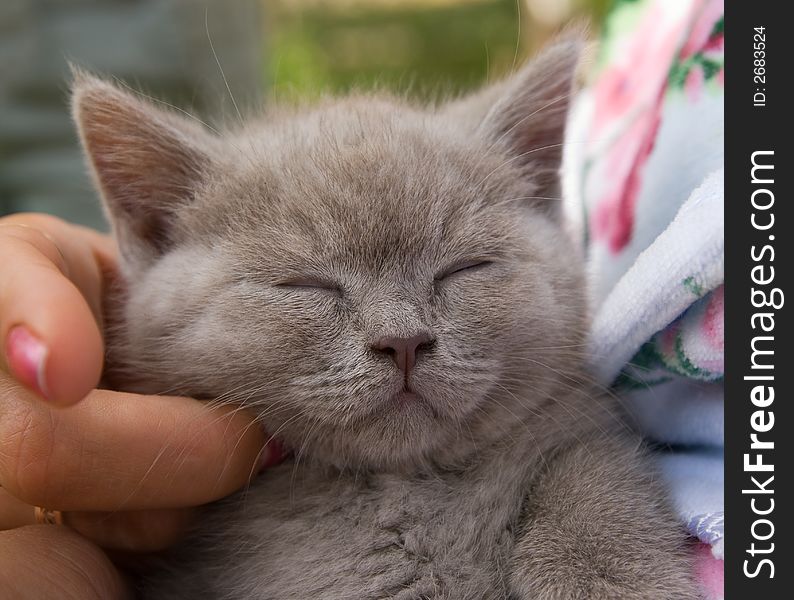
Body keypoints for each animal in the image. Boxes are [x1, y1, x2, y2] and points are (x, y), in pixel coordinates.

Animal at [72, 38, 692, 600]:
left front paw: (609, 576)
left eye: (463, 268)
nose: (404, 340)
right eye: (306, 285)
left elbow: (592, 471)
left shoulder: (582, 428)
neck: (406, 489)